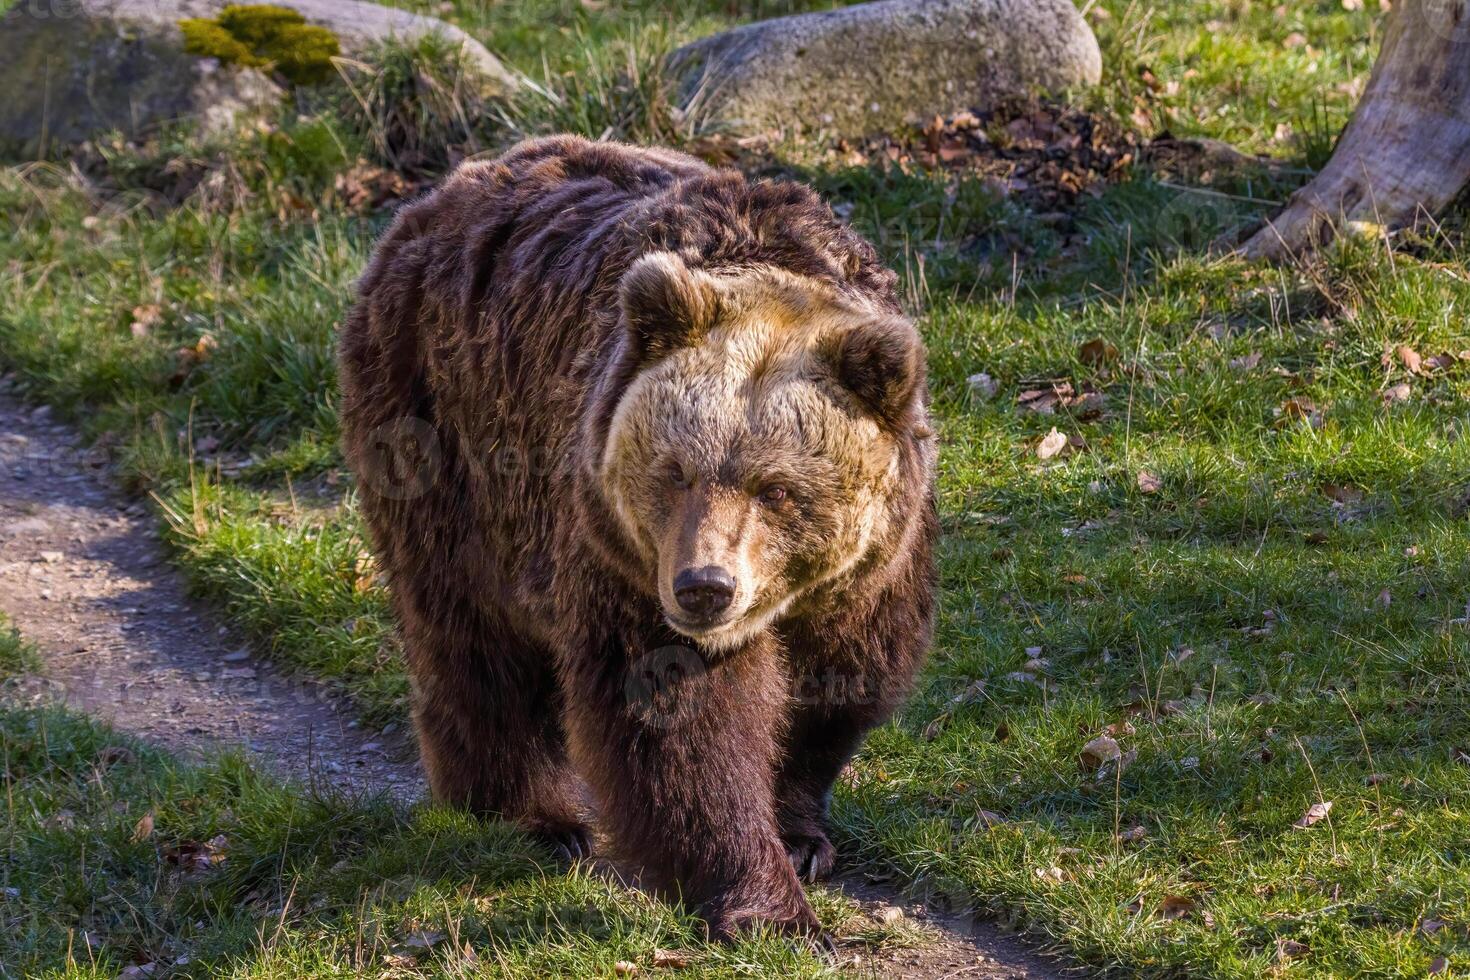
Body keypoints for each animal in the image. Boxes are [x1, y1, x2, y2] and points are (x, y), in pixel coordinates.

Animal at [338, 134, 934, 940]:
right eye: (675, 471)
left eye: (776, 488)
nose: (705, 587)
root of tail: (434, 197)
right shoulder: (619, 557)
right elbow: (673, 721)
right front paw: (766, 906)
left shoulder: (874, 570)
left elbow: (839, 685)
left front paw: (801, 834)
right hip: (441, 432)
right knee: (473, 637)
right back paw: (530, 817)